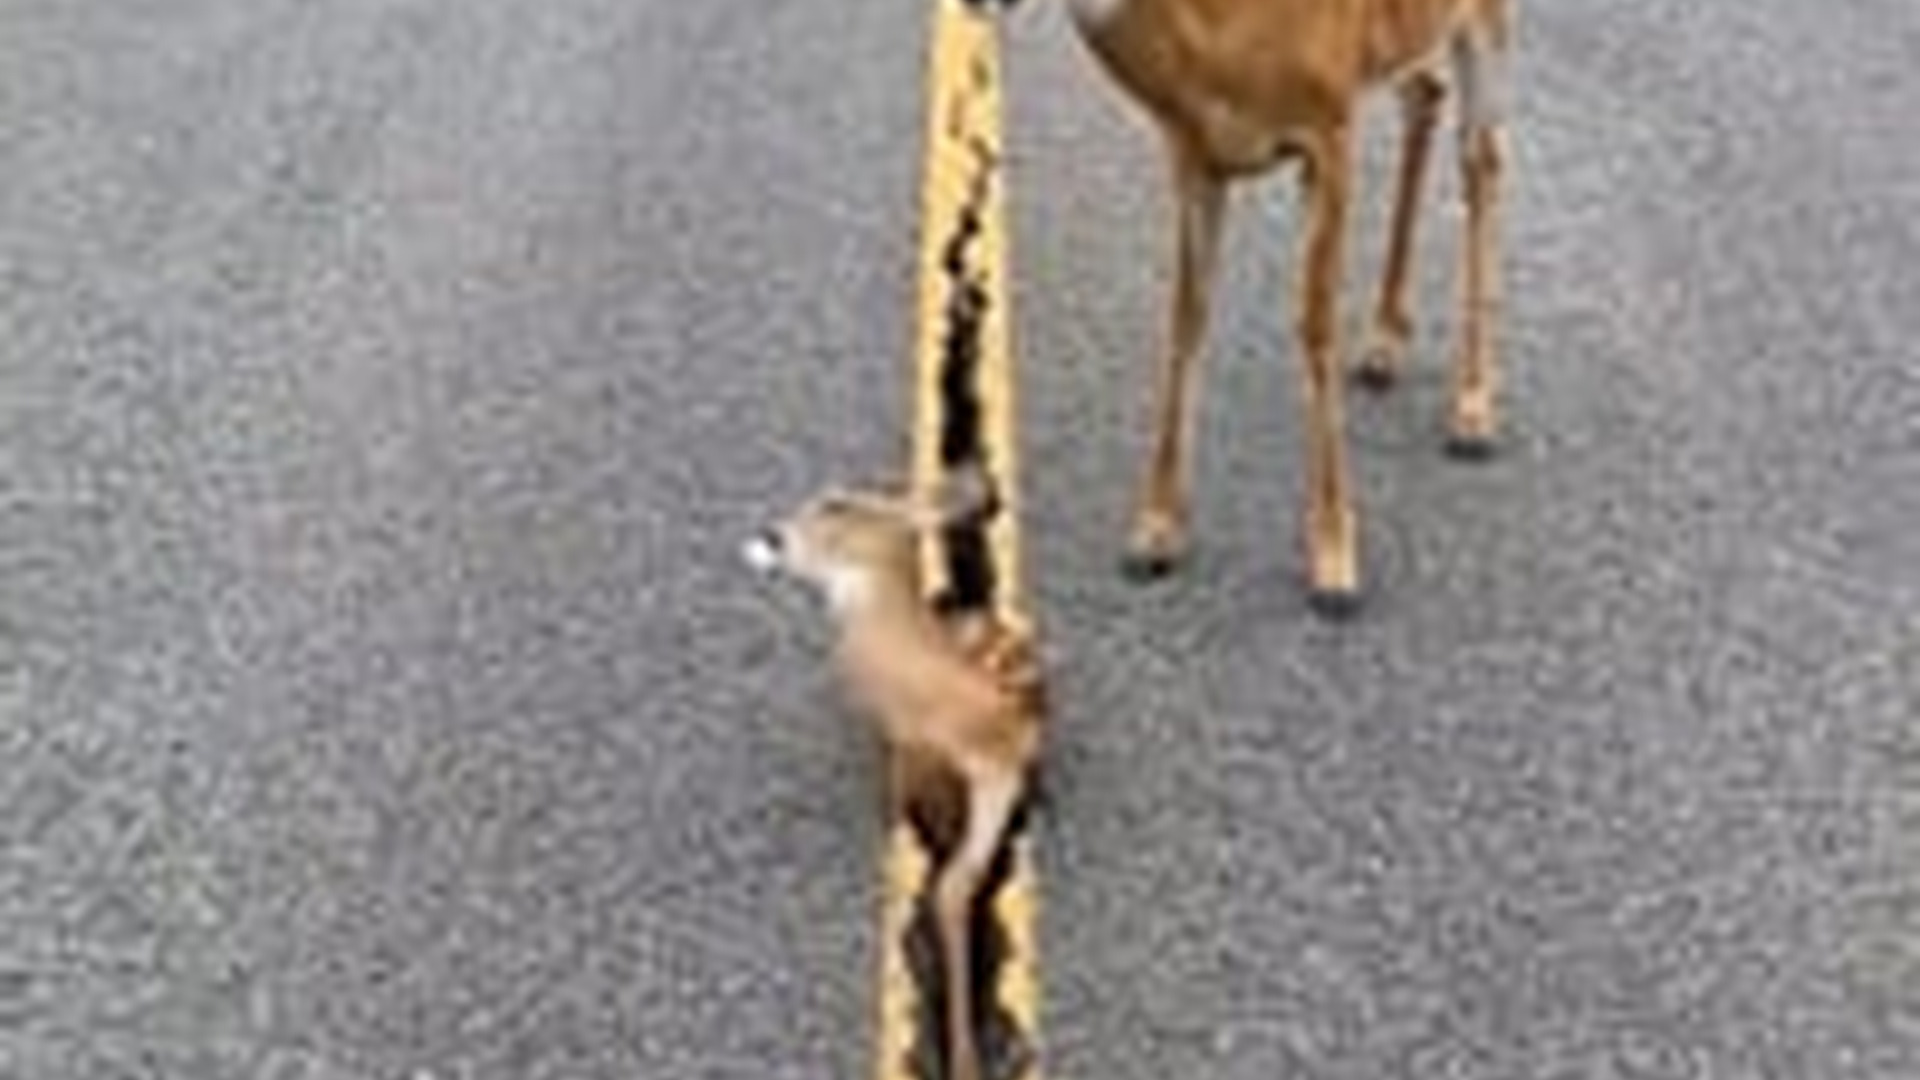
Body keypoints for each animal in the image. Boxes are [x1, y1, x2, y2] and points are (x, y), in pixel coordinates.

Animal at [996, 0, 1513, 611]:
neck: (1217, 46)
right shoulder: (1193, 156)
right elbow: (1186, 320)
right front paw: (1156, 527)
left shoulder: (1330, 126)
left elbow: (1315, 325)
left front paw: (1334, 556)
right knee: (1425, 93)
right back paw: (1384, 342)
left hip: (1487, 23)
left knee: (1482, 159)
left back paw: (1473, 409)